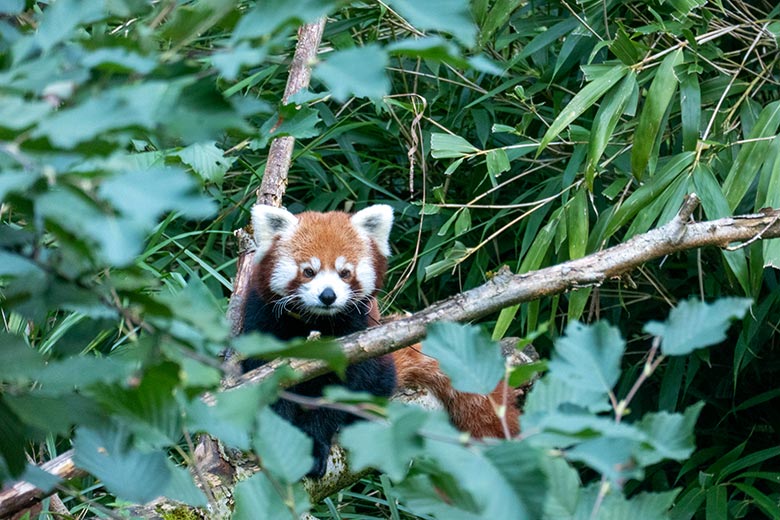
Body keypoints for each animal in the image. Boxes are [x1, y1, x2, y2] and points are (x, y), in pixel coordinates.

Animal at [238, 204, 516, 480]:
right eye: (308, 271)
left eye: (345, 273)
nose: (328, 296)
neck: (315, 321)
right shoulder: (262, 320)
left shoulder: (357, 333)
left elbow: (340, 392)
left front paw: (314, 442)